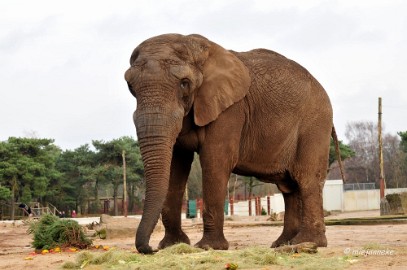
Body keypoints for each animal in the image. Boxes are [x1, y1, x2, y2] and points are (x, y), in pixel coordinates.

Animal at [125, 33, 342, 253]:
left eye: (184, 83)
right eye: (130, 87)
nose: (151, 248)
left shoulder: (230, 110)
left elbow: (215, 161)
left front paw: (208, 247)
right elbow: (175, 167)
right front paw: (173, 246)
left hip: (314, 125)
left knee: (307, 180)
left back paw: (308, 243)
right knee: (289, 188)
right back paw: (283, 244)